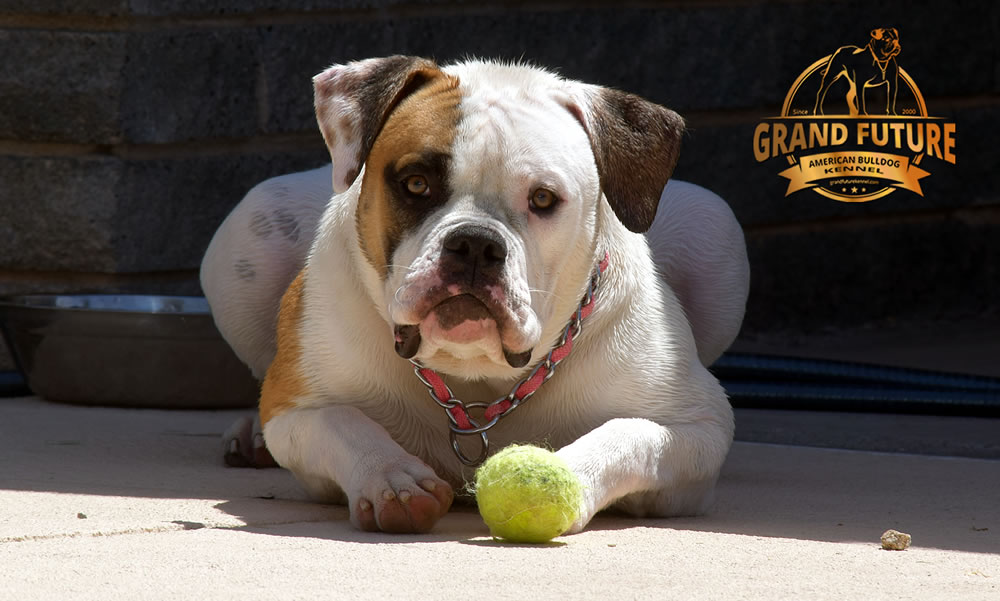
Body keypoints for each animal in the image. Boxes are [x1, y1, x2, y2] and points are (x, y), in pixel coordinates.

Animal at [201, 57, 752, 536]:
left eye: (543, 198)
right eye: (415, 184)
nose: (474, 243)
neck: (479, 377)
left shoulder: (697, 428)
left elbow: (628, 435)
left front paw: (563, 478)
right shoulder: (295, 410)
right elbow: (343, 422)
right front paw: (391, 478)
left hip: (715, 228)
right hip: (249, 233)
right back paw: (249, 434)